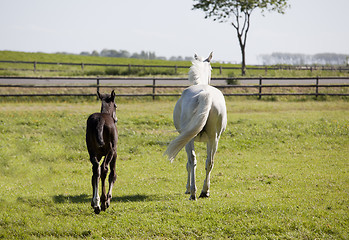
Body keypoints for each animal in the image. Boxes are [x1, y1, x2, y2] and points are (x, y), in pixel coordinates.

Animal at [164, 52, 227, 201]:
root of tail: (205, 93)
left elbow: (188, 163)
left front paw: (187, 188)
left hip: (190, 139)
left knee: (192, 160)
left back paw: (192, 192)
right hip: (213, 138)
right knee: (209, 162)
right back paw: (205, 191)